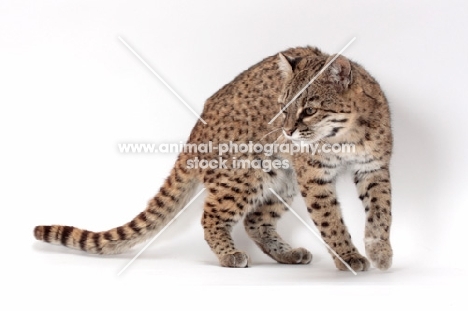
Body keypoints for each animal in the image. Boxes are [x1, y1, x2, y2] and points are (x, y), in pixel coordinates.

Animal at [33, 45, 392, 270]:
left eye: (309, 110)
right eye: (282, 107)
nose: (286, 130)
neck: (345, 137)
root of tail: (196, 129)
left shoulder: (374, 168)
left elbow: (381, 213)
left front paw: (380, 251)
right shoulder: (314, 176)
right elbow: (330, 219)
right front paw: (348, 257)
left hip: (282, 178)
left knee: (255, 220)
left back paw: (286, 254)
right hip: (245, 174)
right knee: (213, 217)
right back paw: (230, 255)